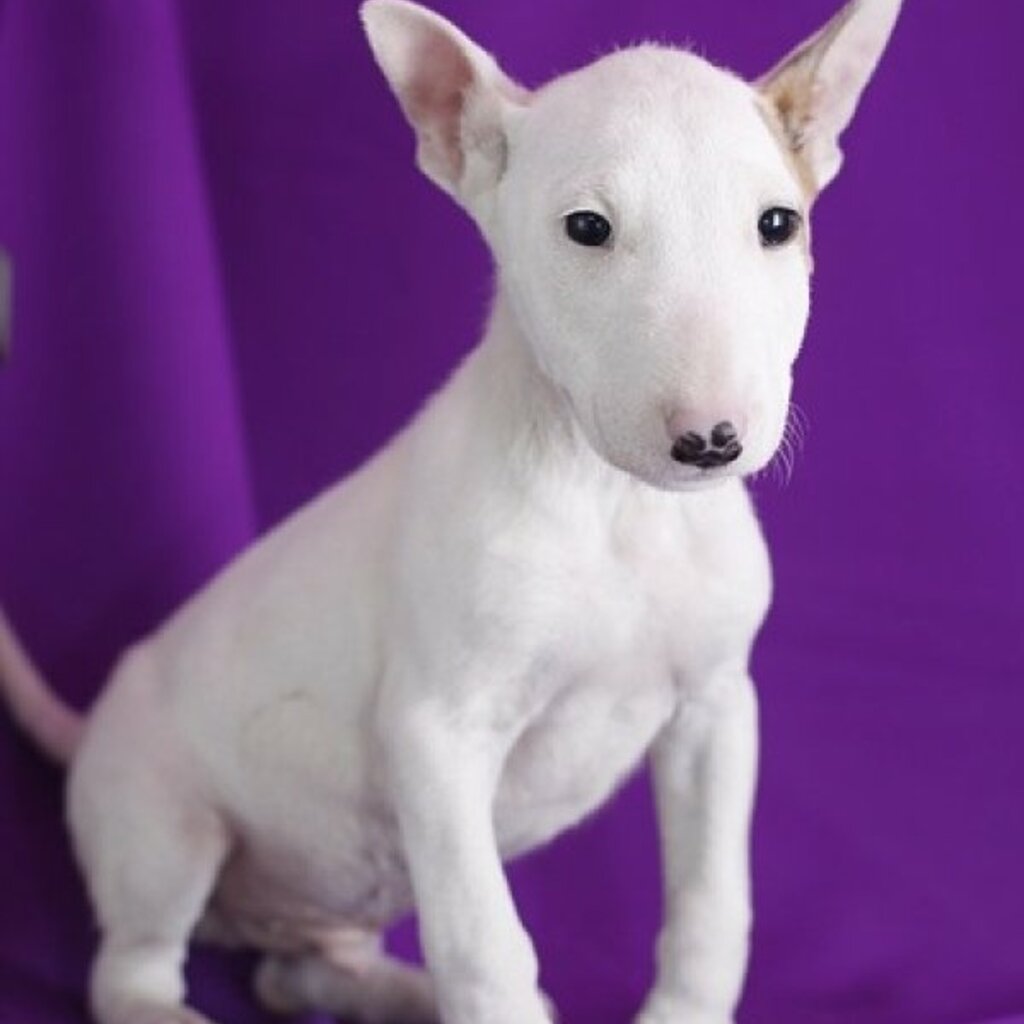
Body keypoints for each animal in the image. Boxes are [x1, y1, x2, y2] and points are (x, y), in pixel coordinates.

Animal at [0, 2, 901, 1024]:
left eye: (778, 224)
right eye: (586, 228)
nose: (710, 440)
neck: (617, 507)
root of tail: (89, 734)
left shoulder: (715, 710)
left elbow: (711, 909)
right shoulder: (437, 735)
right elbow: (485, 943)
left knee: (297, 970)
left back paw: (391, 990)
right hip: (165, 830)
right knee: (132, 967)